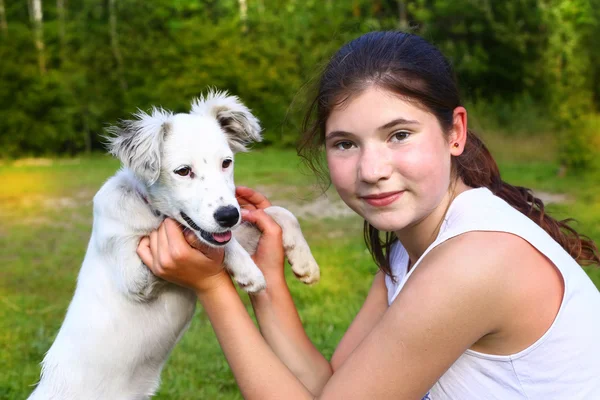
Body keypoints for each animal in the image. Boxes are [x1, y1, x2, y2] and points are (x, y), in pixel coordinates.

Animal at [29, 91, 318, 400]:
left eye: (226, 162)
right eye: (183, 171)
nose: (229, 215)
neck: (152, 212)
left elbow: (280, 213)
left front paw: (305, 263)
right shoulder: (134, 274)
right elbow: (208, 239)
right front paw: (248, 271)